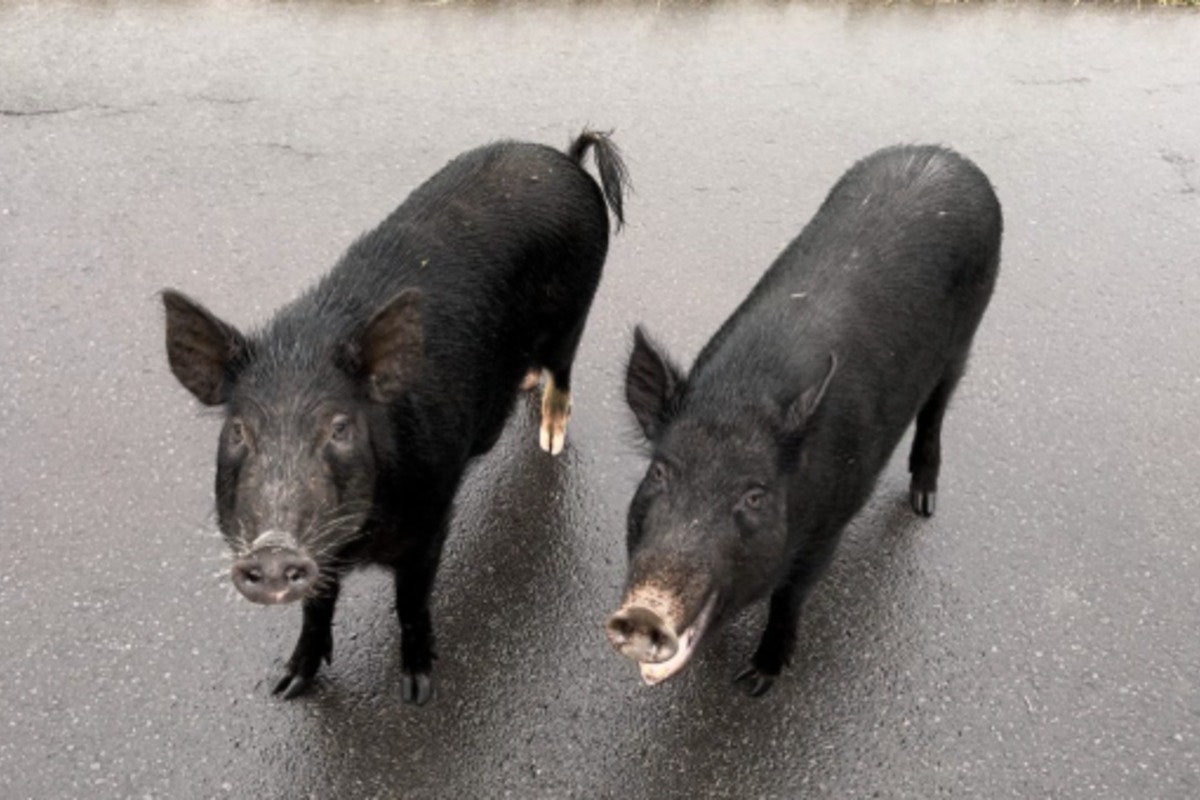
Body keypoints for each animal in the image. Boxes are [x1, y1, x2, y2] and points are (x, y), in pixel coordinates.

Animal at [163, 131, 627, 704]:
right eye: (238, 430)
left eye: (340, 427)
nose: (272, 551)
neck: (358, 546)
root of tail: (566, 157)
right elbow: (316, 608)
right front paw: (287, 686)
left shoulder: (431, 519)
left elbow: (411, 602)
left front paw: (418, 690)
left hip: (577, 307)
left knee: (562, 371)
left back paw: (551, 440)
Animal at [605, 144, 1000, 697]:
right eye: (660, 471)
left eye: (755, 495)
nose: (644, 614)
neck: (739, 398)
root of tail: (945, 154)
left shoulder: (827, 529)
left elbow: (789, 598)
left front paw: (755, 681)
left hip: (968, 333)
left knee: (936, 408)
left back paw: (924, 503)